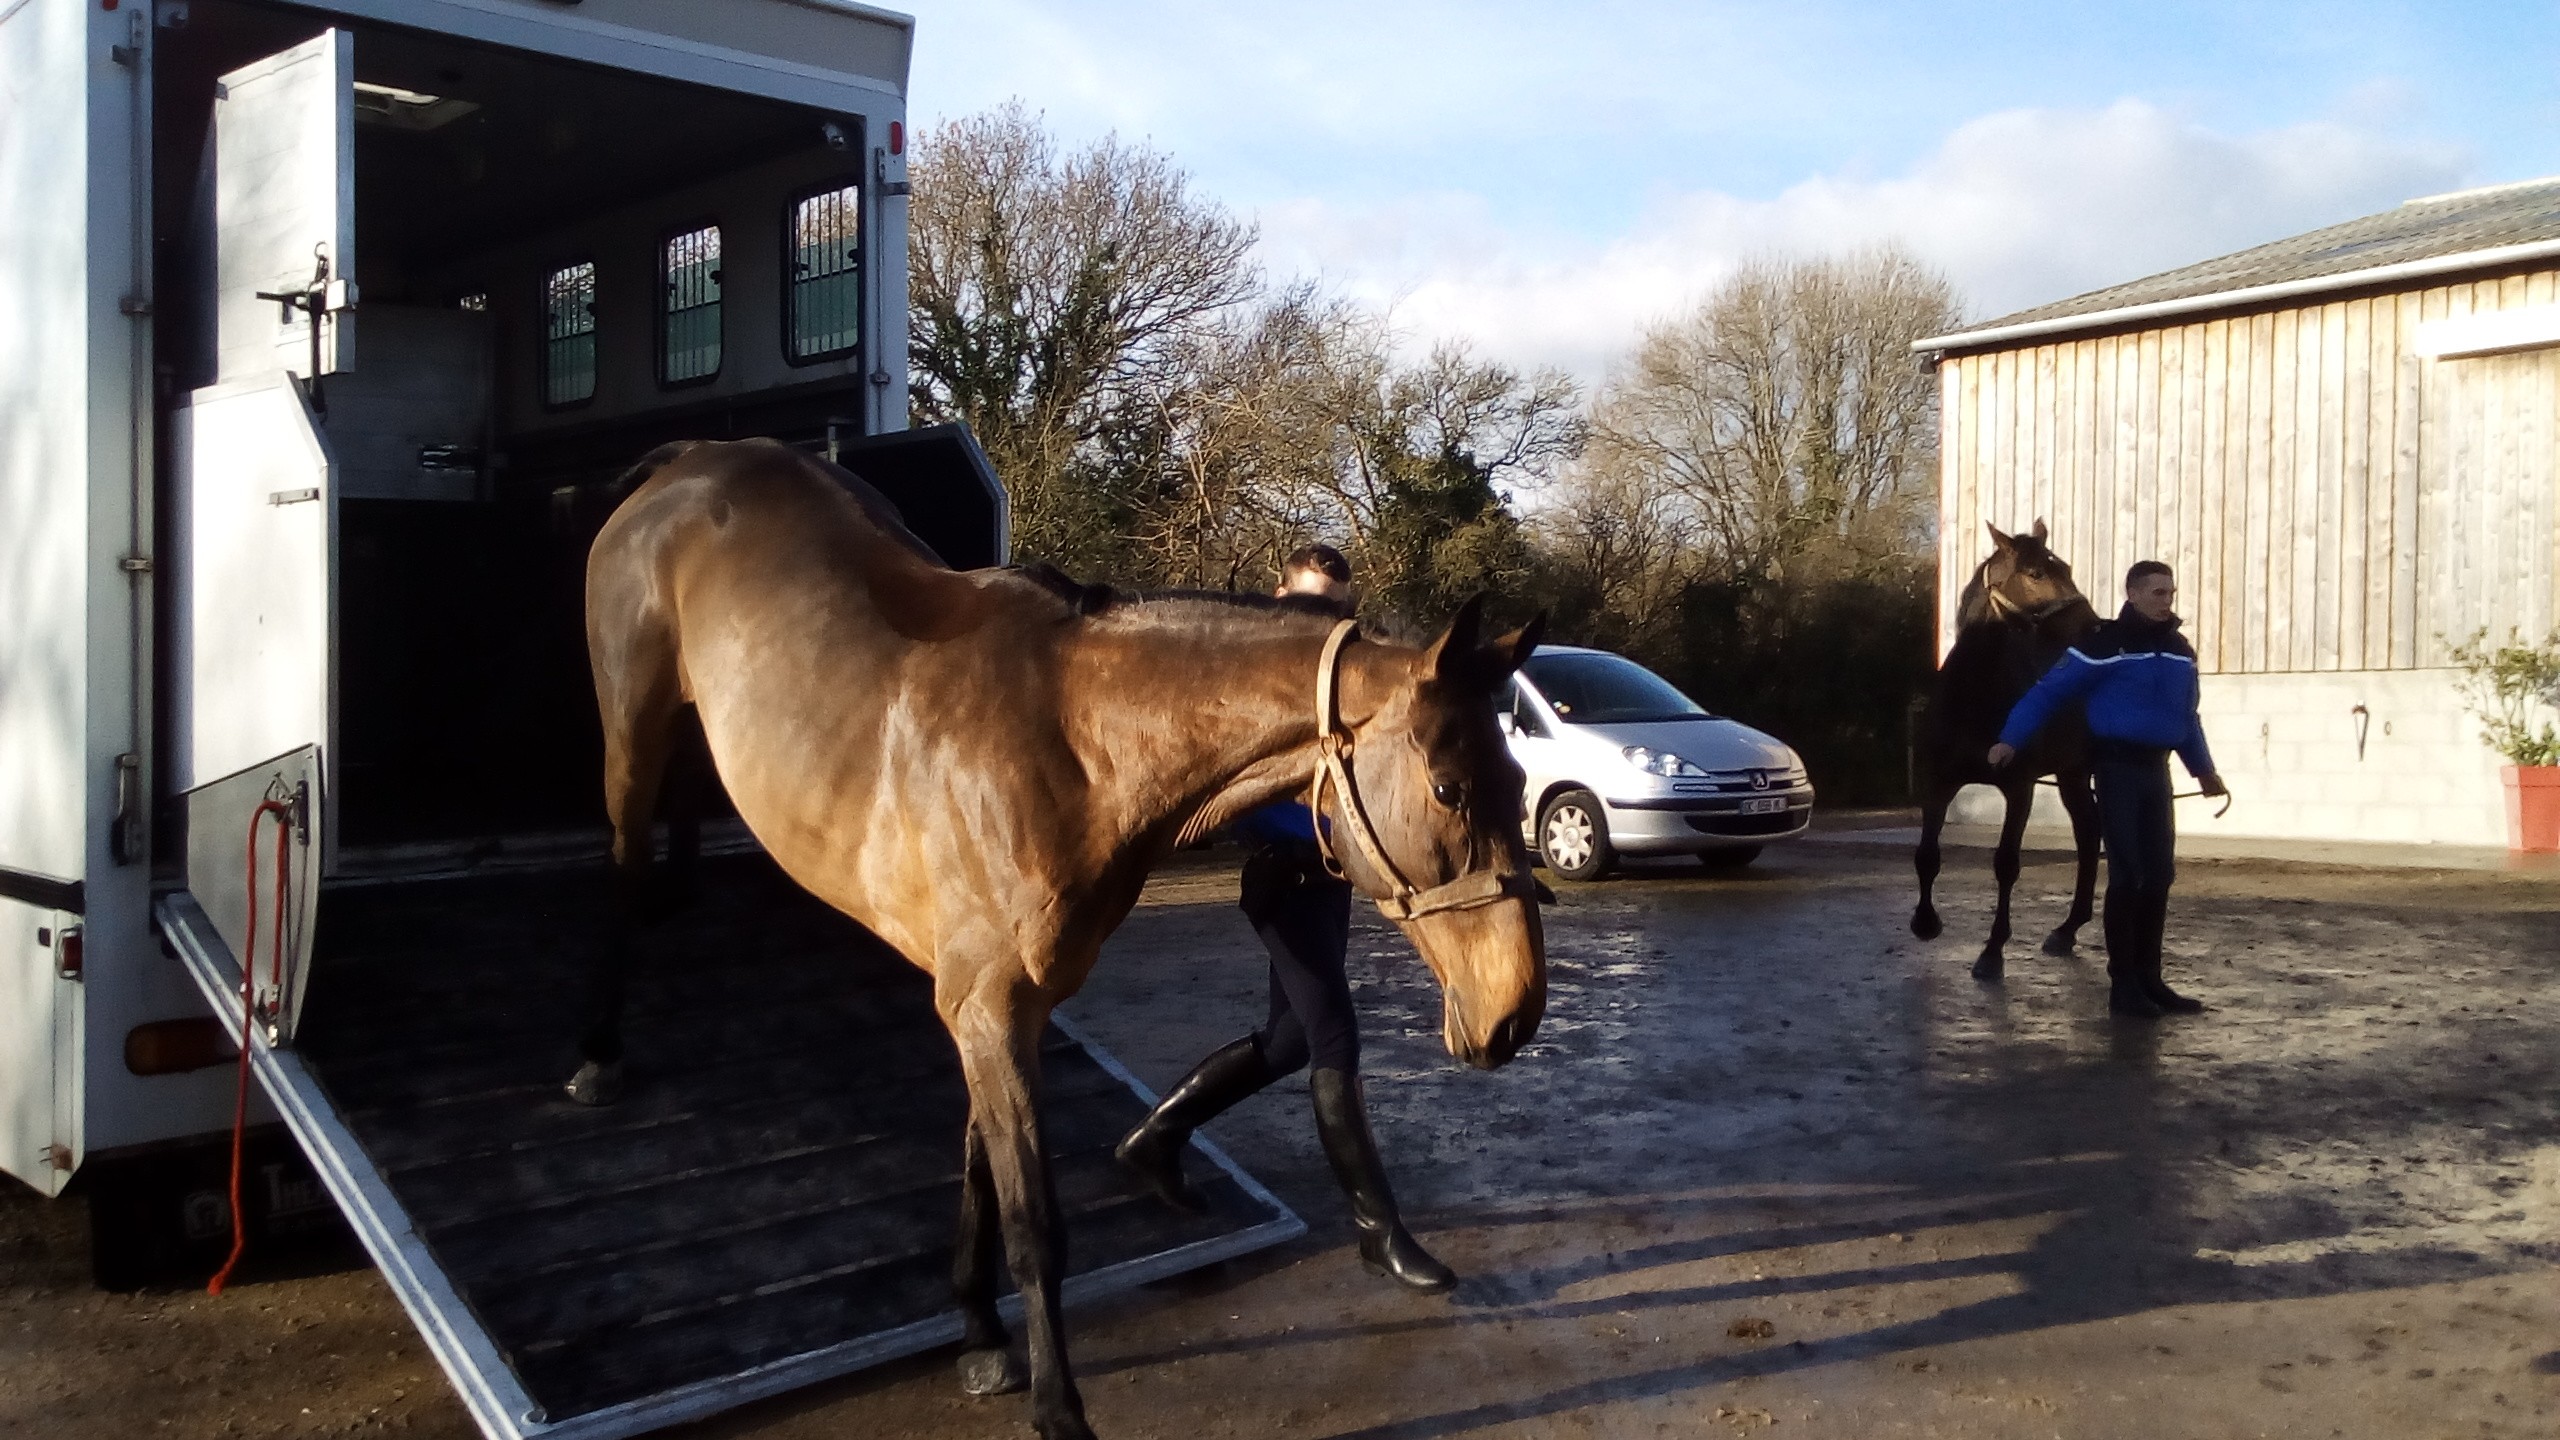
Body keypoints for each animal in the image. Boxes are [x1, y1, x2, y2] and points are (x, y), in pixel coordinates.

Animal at [576, 438, 1536, 1434]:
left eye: (1515, 776)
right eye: (1450, 789)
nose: (1514, 1013)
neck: (1072, 746)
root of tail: (697, 459)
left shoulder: (999, 1009)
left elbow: (981, 1179)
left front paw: (977, 1332)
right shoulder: (989, 1011)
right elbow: (1035, 1224)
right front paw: (1055, 1406)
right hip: (631, 726)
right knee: (621, 864)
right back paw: (599, 1051)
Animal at [1914, 520, 2088, 978]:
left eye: (2066, 566)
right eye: (2037, 573)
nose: (2094, 624)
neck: (1975, 694)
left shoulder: (2019, 787)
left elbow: (2007, 864)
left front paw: (1992, 952)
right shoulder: (1938, 783)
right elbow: (1926, 855)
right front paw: (1925, 922)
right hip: (2071, 773)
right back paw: (2067, 930)